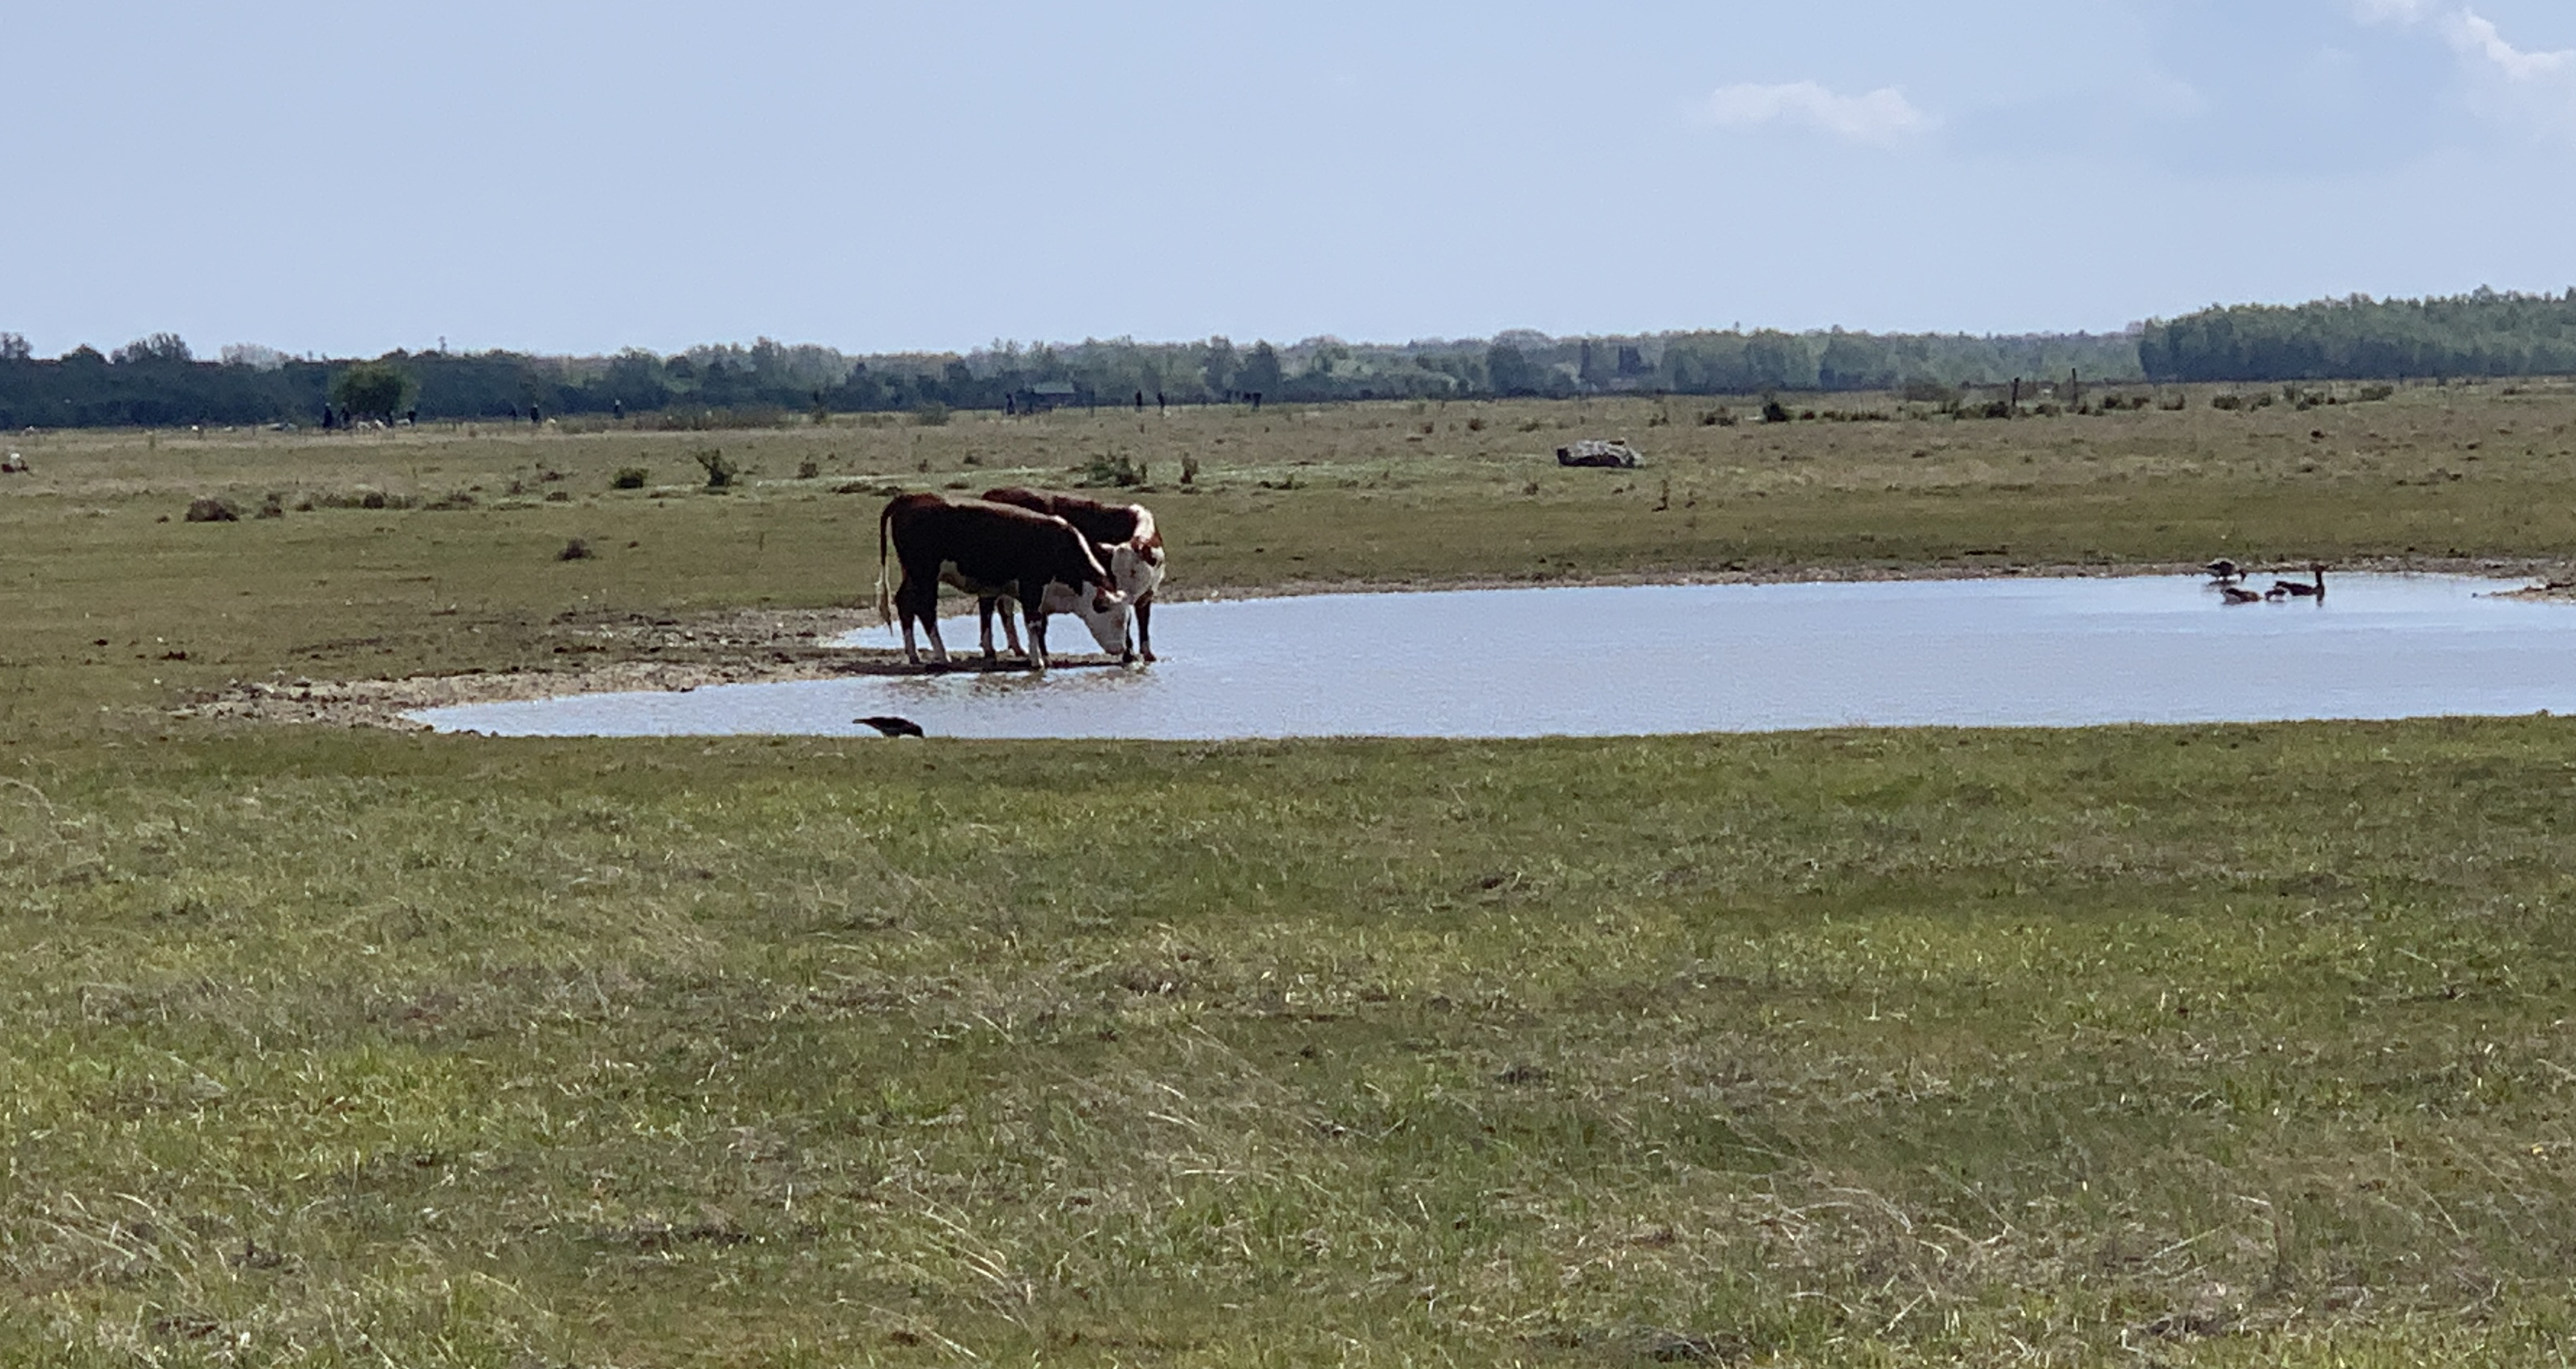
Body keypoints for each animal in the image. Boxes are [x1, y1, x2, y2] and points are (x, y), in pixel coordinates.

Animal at [881, 495, 1123, 670]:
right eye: (1117, 620)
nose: (1121, 650)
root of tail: (910, 498)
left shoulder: (1043, 595)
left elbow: (1041, 626)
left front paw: (1045, 657)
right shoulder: (1032, 587)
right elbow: (1033, 624)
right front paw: (1037, 662)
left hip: (912, 575)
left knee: (904, 603)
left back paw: (914, 655)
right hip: (925, 576)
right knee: (926, 610)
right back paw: (943, 656)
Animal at [973, 487, 1169, 665]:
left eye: (1134, 571)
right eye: (1112, 572)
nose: (1123, 592)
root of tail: (993, 493)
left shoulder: (1147, 594)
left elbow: (1143, 622)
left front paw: (1148, 654)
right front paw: (1129, 655)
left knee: (1005, 608)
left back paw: (1018, 648)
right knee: (987, 606)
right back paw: (990, 650)